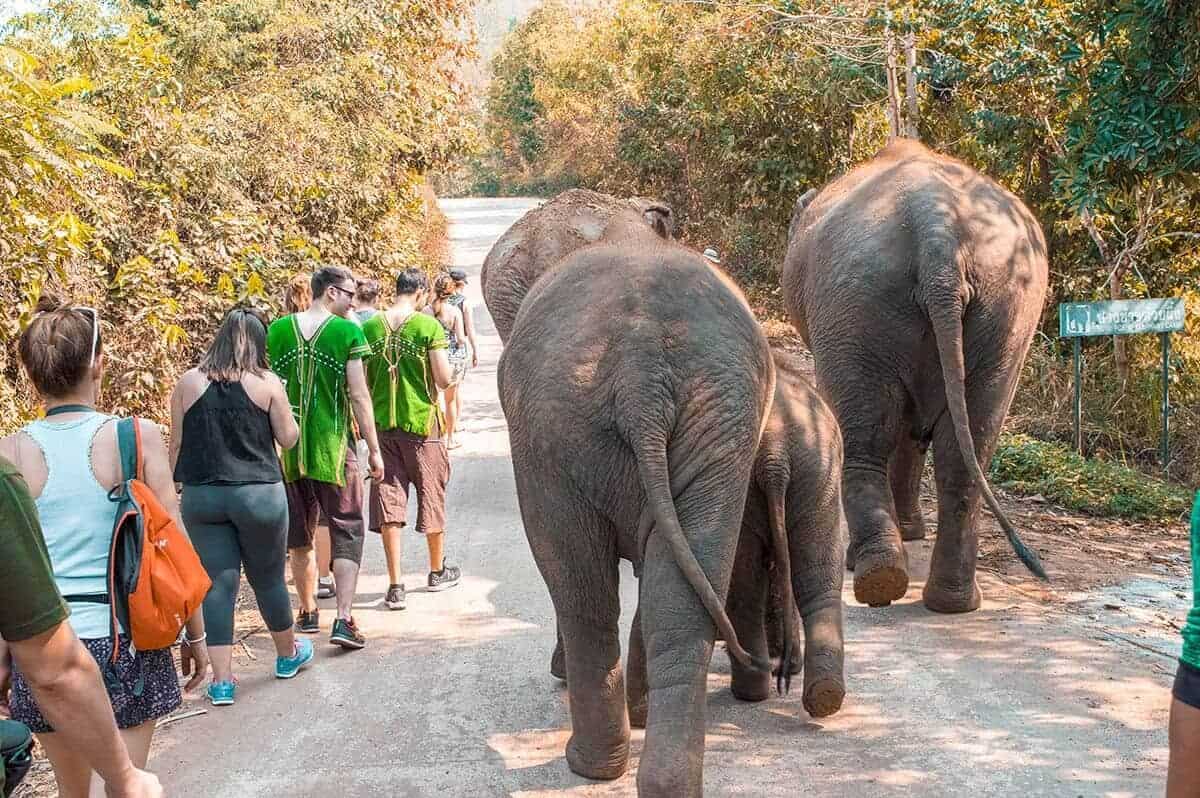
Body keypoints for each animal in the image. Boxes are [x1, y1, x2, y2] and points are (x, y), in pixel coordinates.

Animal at [498, 218, 774, 797]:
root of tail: (641, 368)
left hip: (551, 436)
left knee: (579, 590)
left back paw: (589, 764)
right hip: (717, 424)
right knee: (682, 600)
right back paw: (665, 780)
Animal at [725, 348, 846, 718]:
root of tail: (774, 454)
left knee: (745, 587)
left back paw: (751, 689)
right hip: (819, 475)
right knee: (818, 579)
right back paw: (823, 694)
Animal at [781, 139, 1049, 614]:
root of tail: (938, 232)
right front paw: (911, 535)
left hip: (854, 307)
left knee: (864, 438)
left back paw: (875, 577)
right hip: (1006, 312)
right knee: (966, 448)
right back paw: (949, 600)